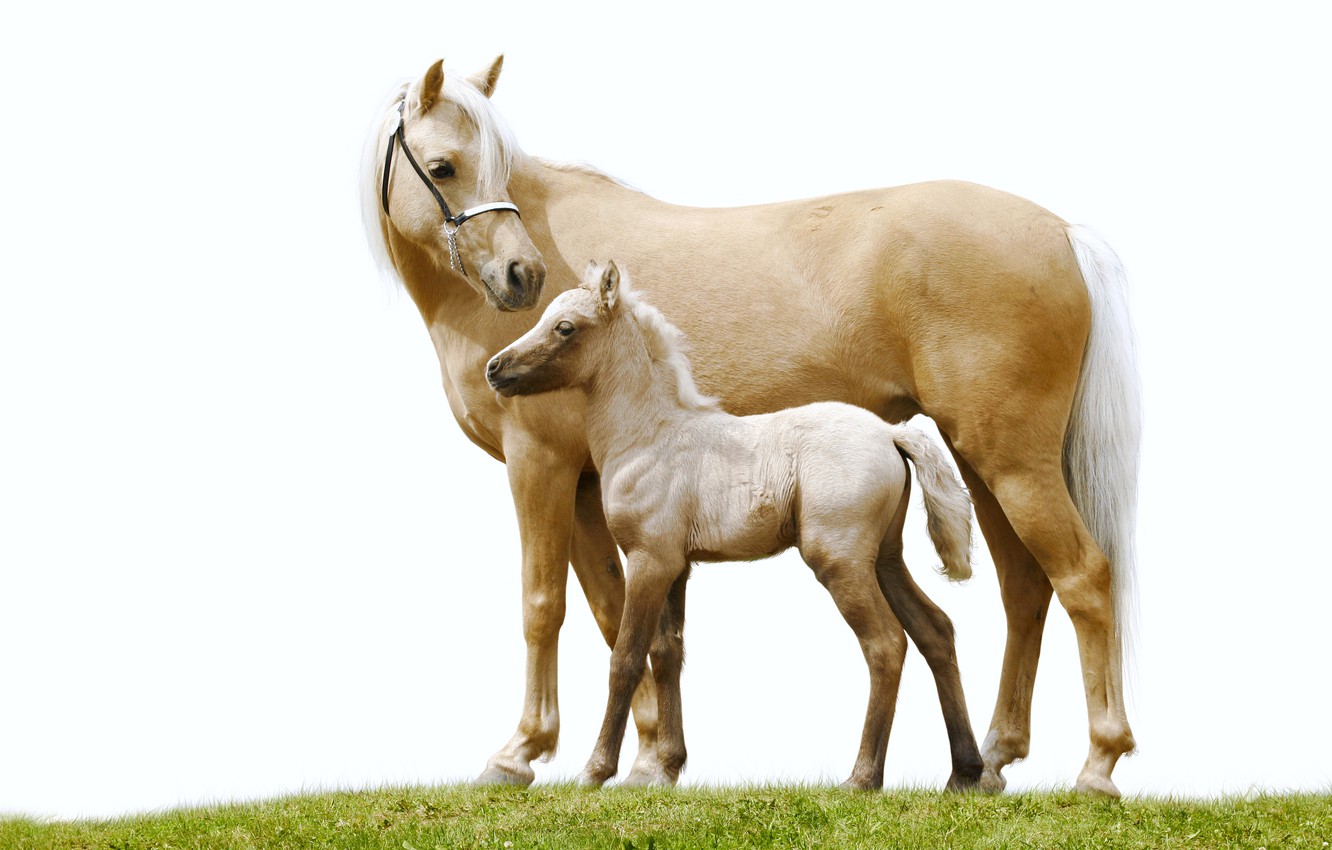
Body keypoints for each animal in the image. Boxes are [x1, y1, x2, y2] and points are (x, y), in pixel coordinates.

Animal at [486, 260, 981, 790]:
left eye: (564, 327)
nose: (494, 368)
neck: (649, 437)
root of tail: (891, 433)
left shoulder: (648, 560)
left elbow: (626, 655)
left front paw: (596, 770)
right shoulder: (677, 567)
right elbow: (667, 651)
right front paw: (666, 766)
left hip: (840, 561)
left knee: (886, 644)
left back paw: (862, 778)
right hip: (885, 558)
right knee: (935, 629)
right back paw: (966, 772)